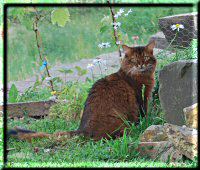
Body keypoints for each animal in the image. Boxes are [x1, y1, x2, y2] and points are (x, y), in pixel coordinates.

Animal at [8, 40, 156, 141]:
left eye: (146, 58)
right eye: (134, 60)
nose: (141, 65)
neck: (141, 76)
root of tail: (82, 129)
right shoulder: (140, 98)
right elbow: (142, 115)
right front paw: (143, 124)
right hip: (119, 120)